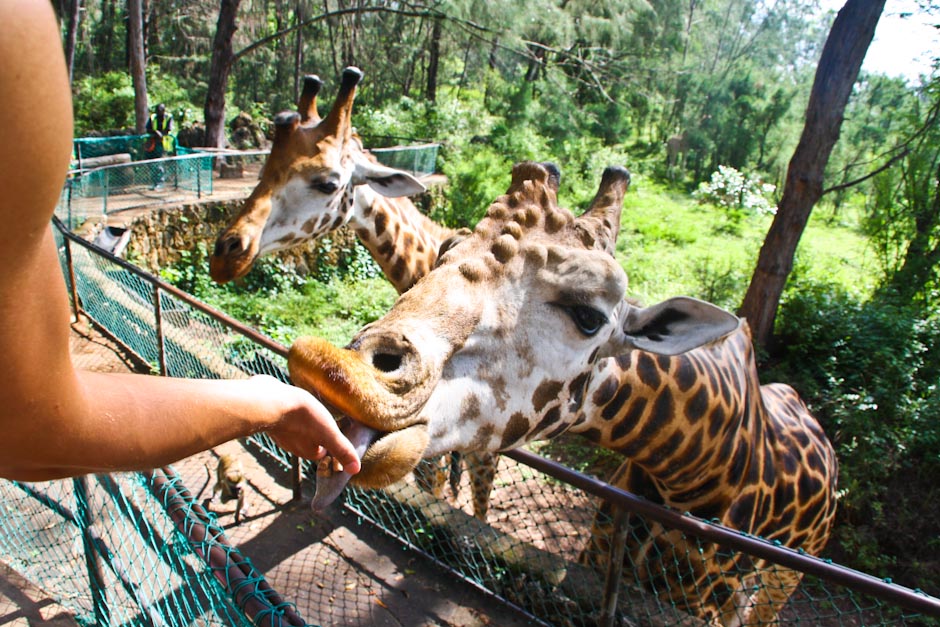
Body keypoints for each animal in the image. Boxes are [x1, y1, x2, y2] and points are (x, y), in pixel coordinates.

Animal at [286, 162, 839, 625]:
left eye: (589, 316)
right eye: (443, 255)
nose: (338, 370)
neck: (689, 471)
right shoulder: (598, 560)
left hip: (780, 582)